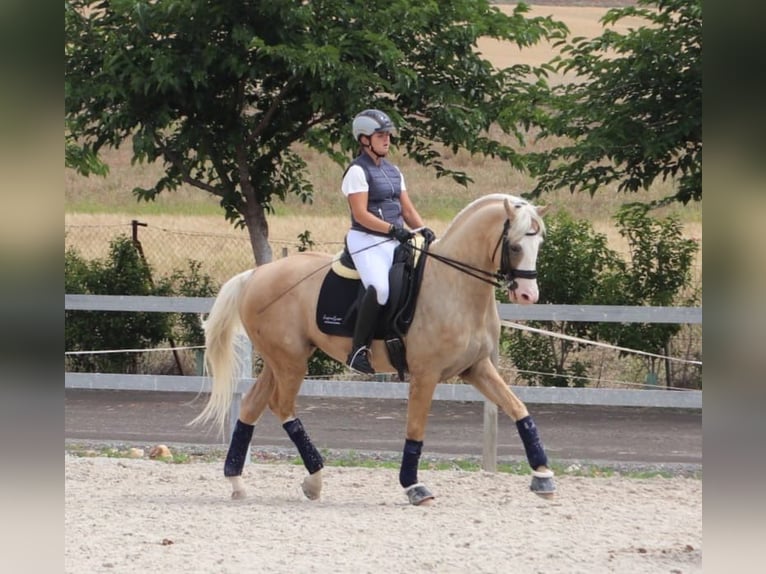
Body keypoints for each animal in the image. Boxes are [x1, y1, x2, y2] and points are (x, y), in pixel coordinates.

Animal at [192, 195, 560, 508]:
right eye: (515, 245)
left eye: (539, 244)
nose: (528, 295)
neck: (455, 286)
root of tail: (255, 274)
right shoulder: (425, 375)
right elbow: (415, 430)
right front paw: (414, 486)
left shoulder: (477, 368)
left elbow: (519, 409)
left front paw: (543, 477)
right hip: (290, 362)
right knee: (281, 406)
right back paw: (315, 479)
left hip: (280, 360)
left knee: (252, 406)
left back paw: (239, 482)